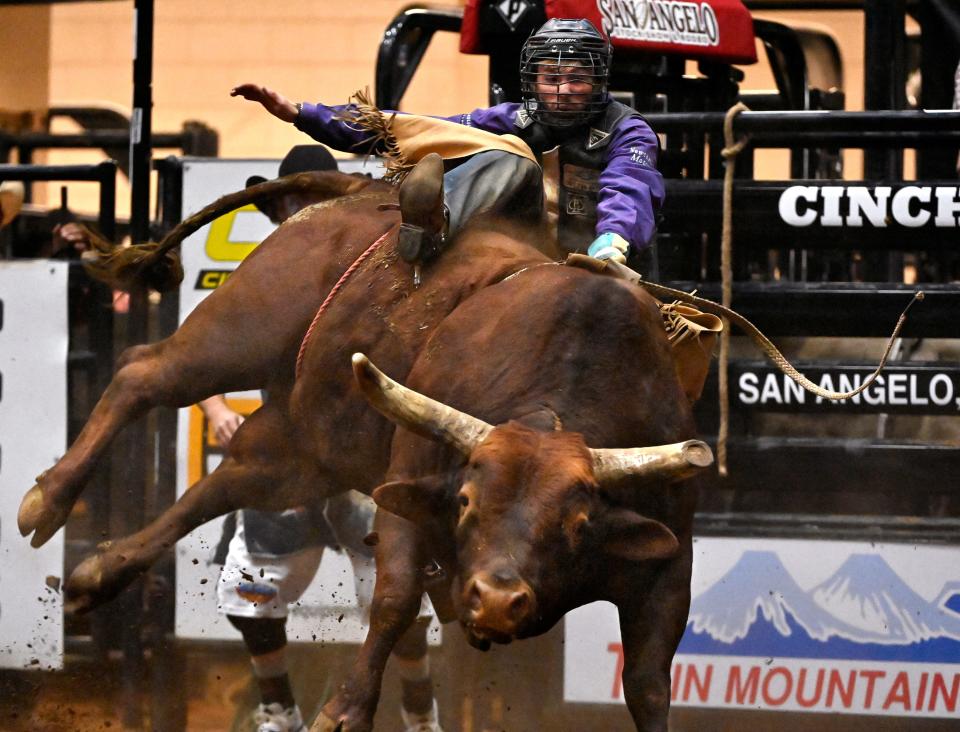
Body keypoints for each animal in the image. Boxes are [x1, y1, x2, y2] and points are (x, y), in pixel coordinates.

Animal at [316, 264, 712, 732]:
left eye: (579, 524)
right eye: (465, 501)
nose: (496, 602)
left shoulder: (669, 566)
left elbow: (647, 682)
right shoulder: (406, 492)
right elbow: (396, 600)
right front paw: (345, 712)